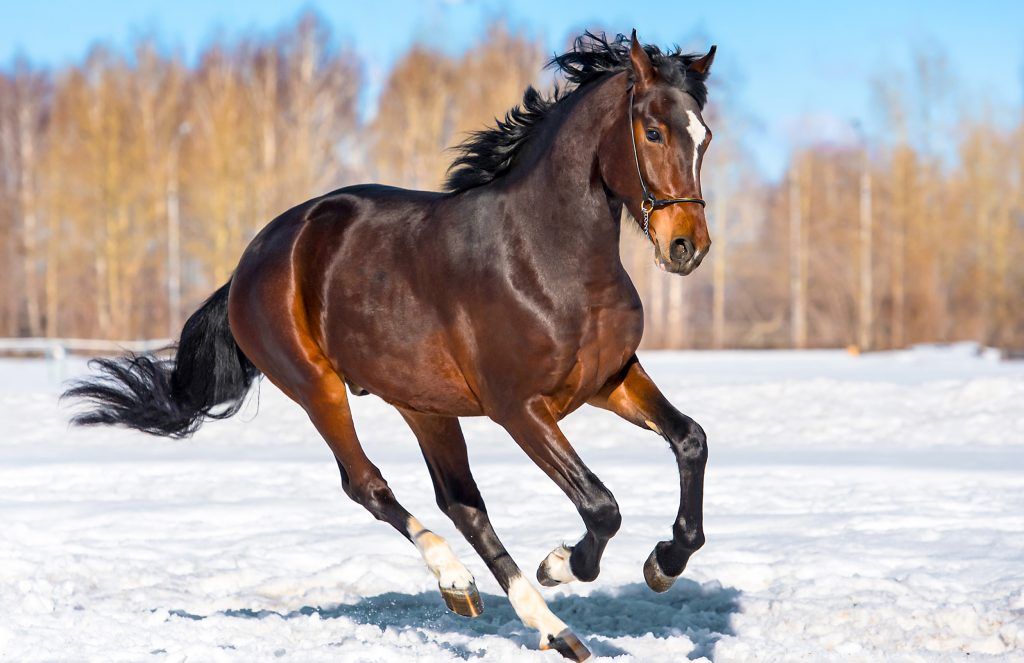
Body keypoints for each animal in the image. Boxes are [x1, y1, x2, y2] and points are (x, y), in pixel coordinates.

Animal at [64, 29, 716, 659]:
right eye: (653, 130)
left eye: (704, 136)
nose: (686, 246)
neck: (545, 256)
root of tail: (253, 260)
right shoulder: (519, 409)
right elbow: (601, 505)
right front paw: (559, 564)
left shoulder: (608, 380)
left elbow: (690, 440)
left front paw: (664, 562)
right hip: (318, 388)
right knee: (369, 486)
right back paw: (462, 581)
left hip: (423, 404)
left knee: (463, 504)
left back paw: (549, 629)